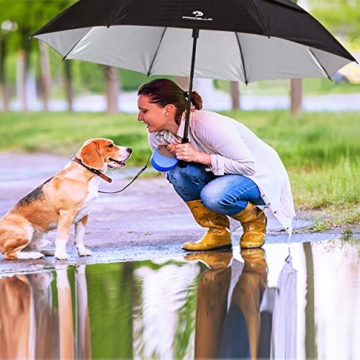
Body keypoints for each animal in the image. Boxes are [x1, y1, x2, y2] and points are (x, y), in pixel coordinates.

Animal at [0, 137, 132, 258]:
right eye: (110, 145)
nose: (130, 149)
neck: (84, 176)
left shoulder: (84, 215)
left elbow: (79, 237)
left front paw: (81, 252)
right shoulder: (67, 214)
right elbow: (63, 237)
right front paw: (61, 255)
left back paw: (47, 252)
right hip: (25, 230)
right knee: (10, 254)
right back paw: (34, 255)